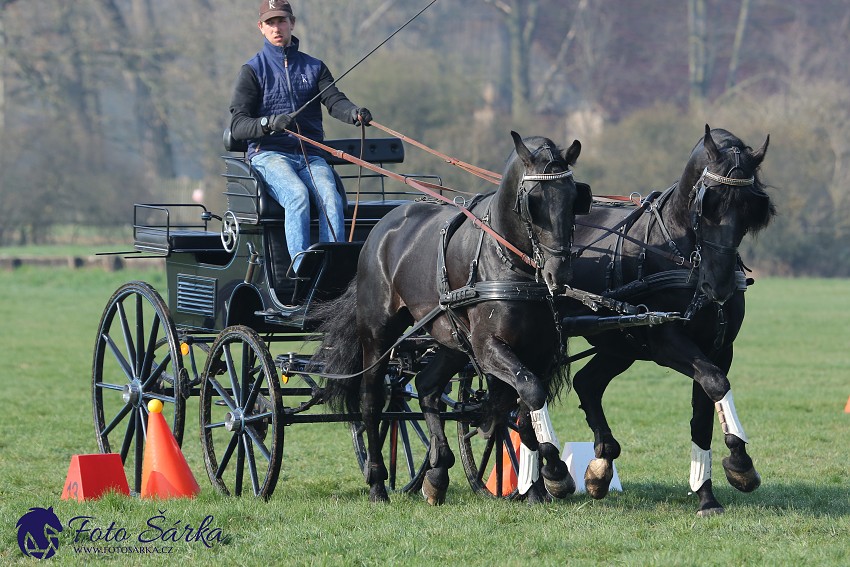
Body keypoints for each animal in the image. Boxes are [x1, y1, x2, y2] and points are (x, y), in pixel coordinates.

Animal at [314, 133, 588, 506]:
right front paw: (554, 471)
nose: (558, 274)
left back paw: (437, 472)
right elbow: (529, 393)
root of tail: (380, 230)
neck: (510, 263)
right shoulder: (488, 347)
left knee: (427, 386)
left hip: (452, 341)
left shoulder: (539, 352)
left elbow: (524, 405)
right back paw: (378, 484)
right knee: (371, 401)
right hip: (378, 334)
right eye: (533, 202)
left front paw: (535, 486)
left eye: (574, 198)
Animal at [564, 126, 776, 516]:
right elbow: (715, 382)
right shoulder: (667, 343)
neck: (679, 250)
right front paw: (740, 465)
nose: (719, 285)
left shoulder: (719, 348)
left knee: (587, 383)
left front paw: (708, 494)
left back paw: (600, 467)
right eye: (708, 204)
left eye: (750, 208)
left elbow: (704, 413)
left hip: (619, 343)